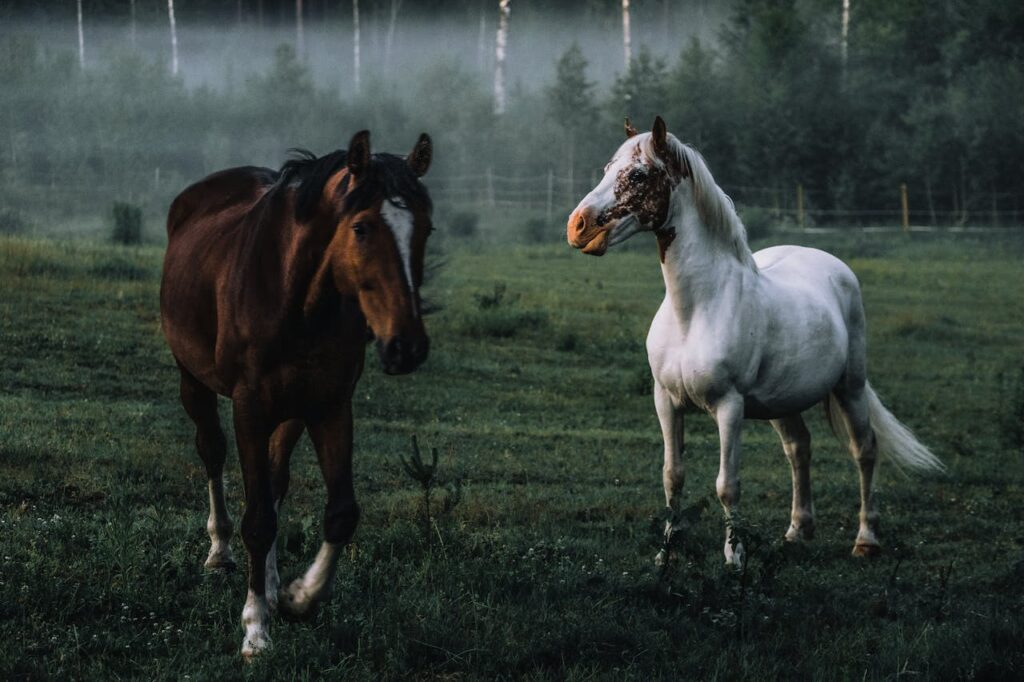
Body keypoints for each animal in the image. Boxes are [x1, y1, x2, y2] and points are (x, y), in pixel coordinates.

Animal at [160, 129, 434, 658]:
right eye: (362, 228)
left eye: (426, 229)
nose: (406, 346)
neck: (296, 296)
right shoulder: (249, 407)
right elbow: (258, 520)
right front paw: (255, 631)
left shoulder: (330, 406)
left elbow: (340, 512)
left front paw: (297, 598)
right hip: (195, 381)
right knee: (213, 453)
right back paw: (220, 551)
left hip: (289, 412)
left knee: (274, 480)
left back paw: (268, 583)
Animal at [567, 117, 944, 567]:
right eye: (608, 168)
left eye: (638, 174)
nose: (577, 226)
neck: (694, 311)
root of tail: (831, 265)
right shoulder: (666, 402)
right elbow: (672, 476)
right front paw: (667, 553)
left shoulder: (729, 407)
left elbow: (727, 484)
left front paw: (734, 557)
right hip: (783, 401)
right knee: (799, 448)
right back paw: (798, 531)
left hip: (849, 386)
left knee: (864, 449)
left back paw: (866, 540)